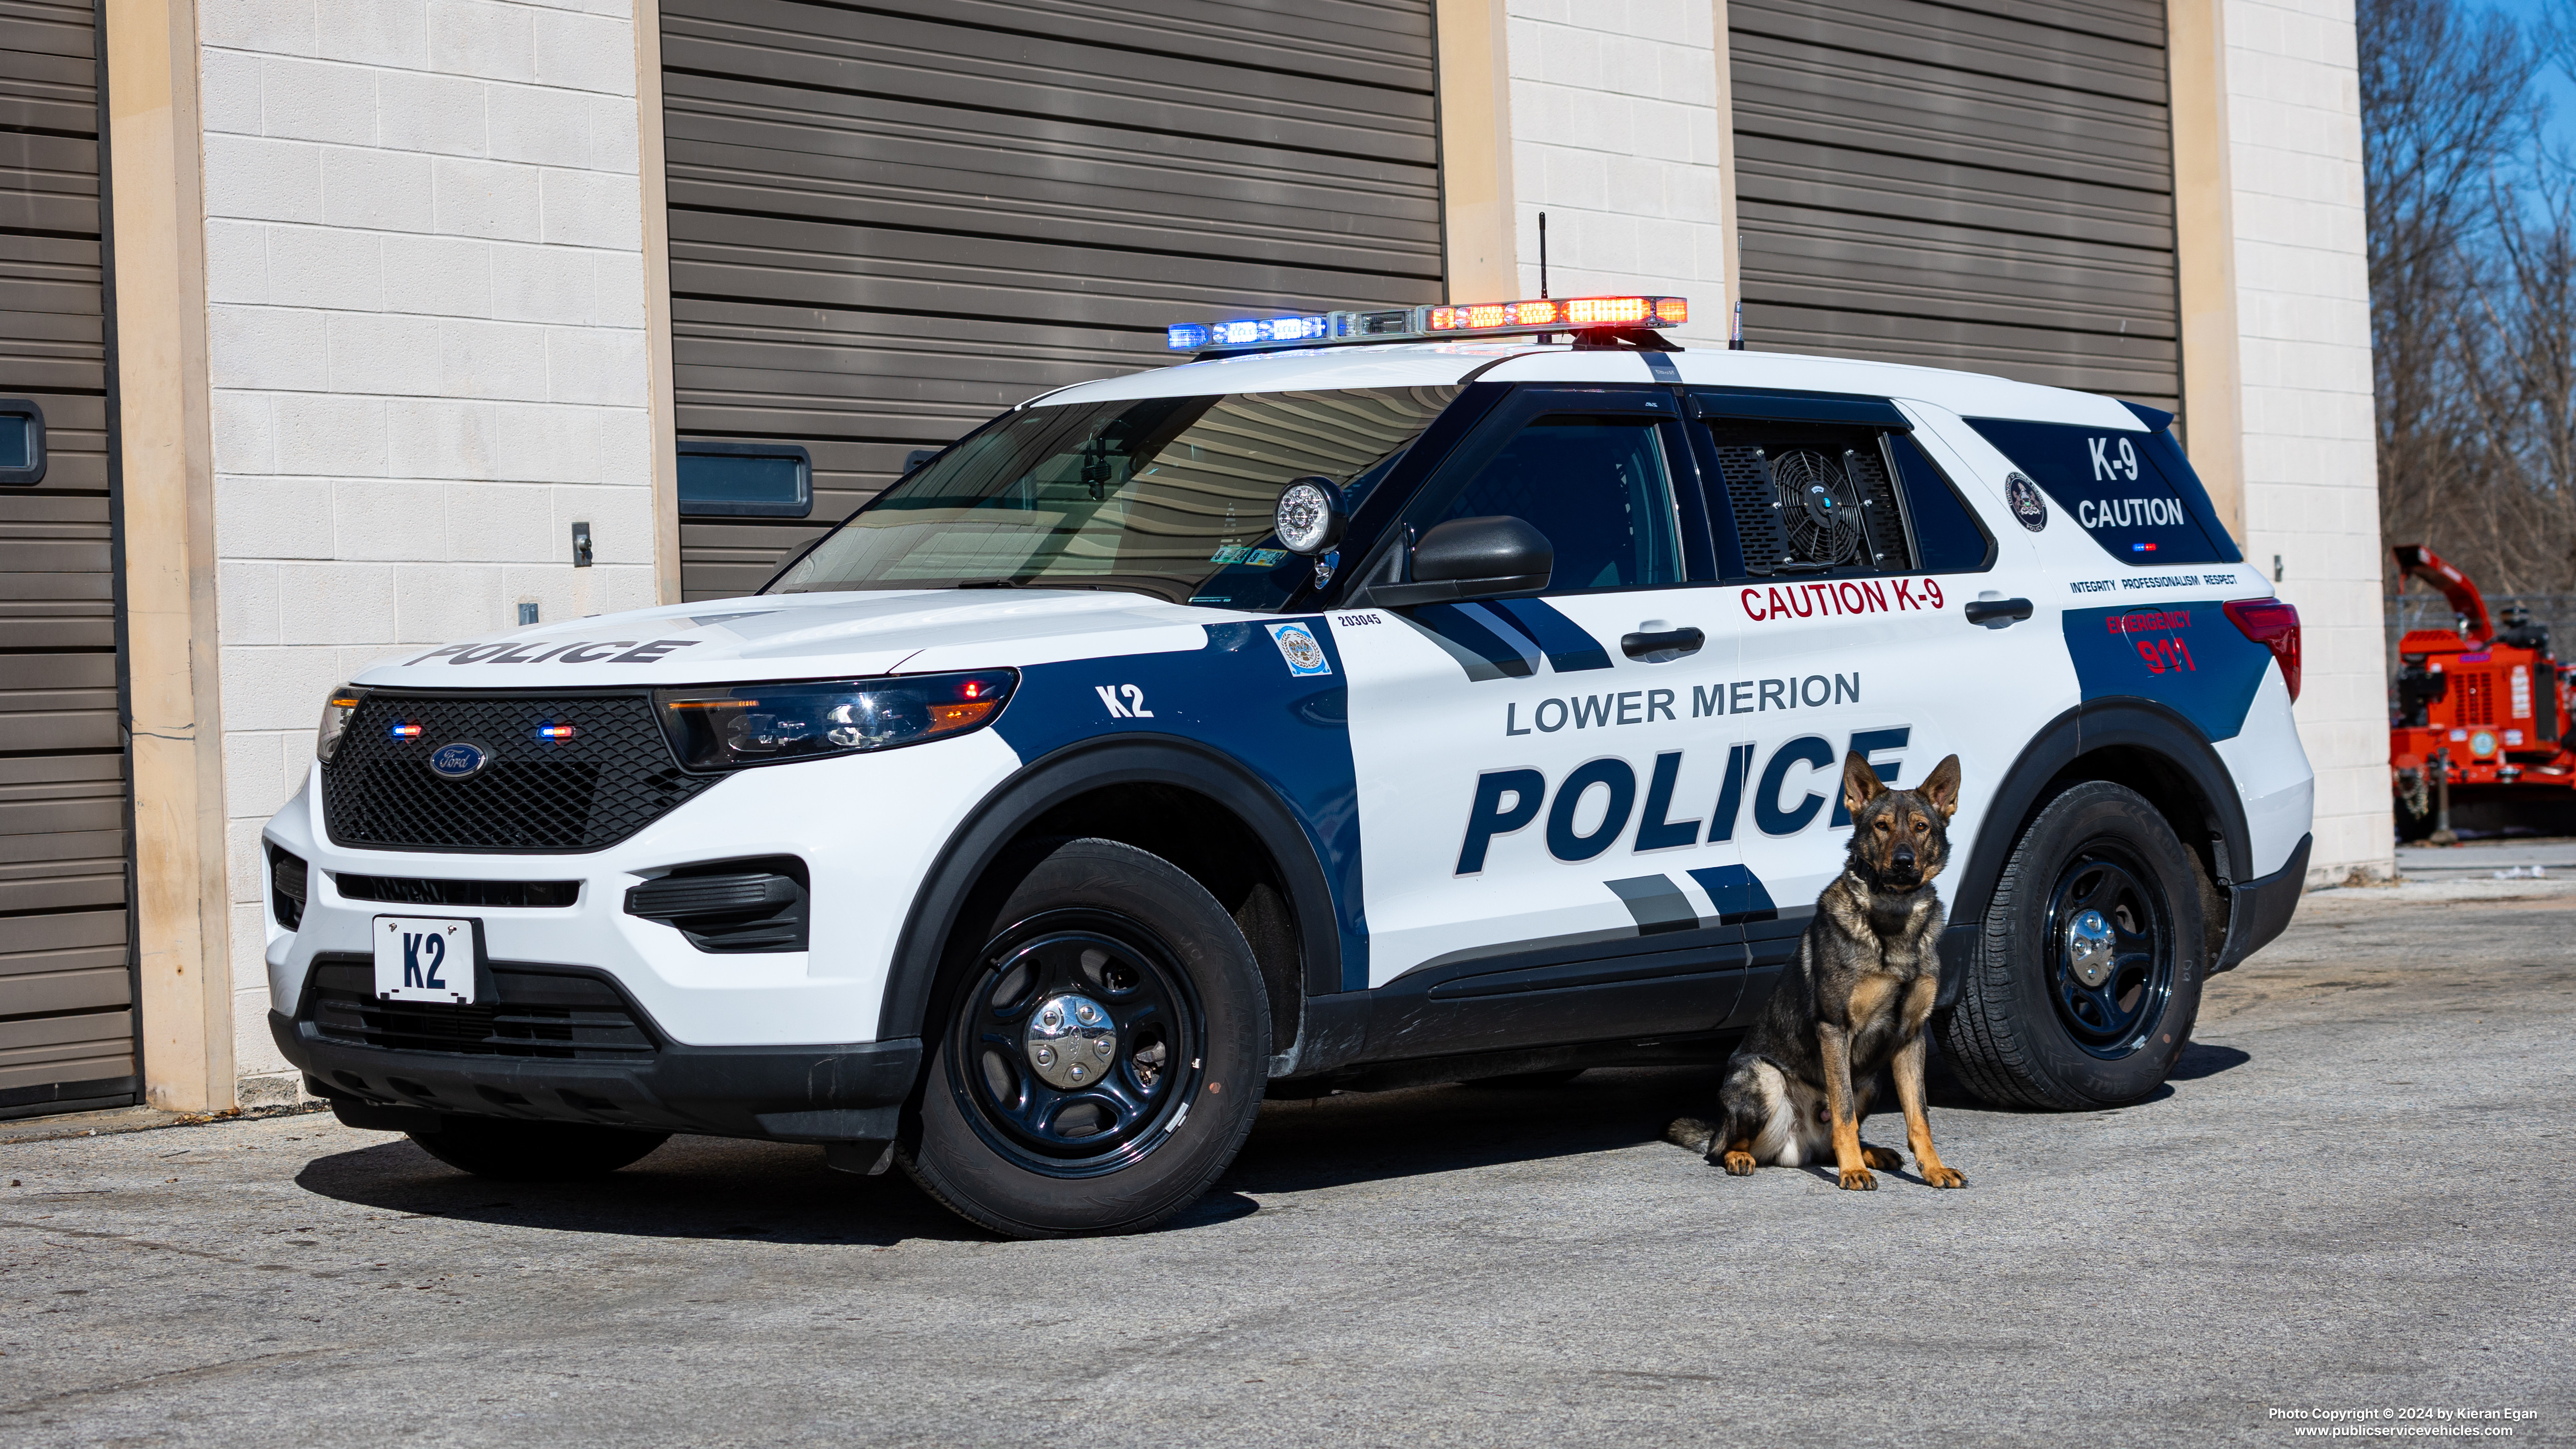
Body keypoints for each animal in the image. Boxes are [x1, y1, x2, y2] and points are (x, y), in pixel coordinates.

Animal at [1669, 746, 1968, 1189]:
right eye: (1881, 826)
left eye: (1920, 827)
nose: (1902, 862)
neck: (1892, 917)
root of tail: (1797, 1147)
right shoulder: (1834, 1028)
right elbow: (1843, 1113)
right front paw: (1851, 1171)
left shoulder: (1911, 1037)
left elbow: (1919, 1117)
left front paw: (1932, 1168)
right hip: (1762, 1076)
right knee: (1720, 1148)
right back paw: (1743, 1156)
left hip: (1870, 1080)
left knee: (1832, 1138)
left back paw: (1870, 1153)